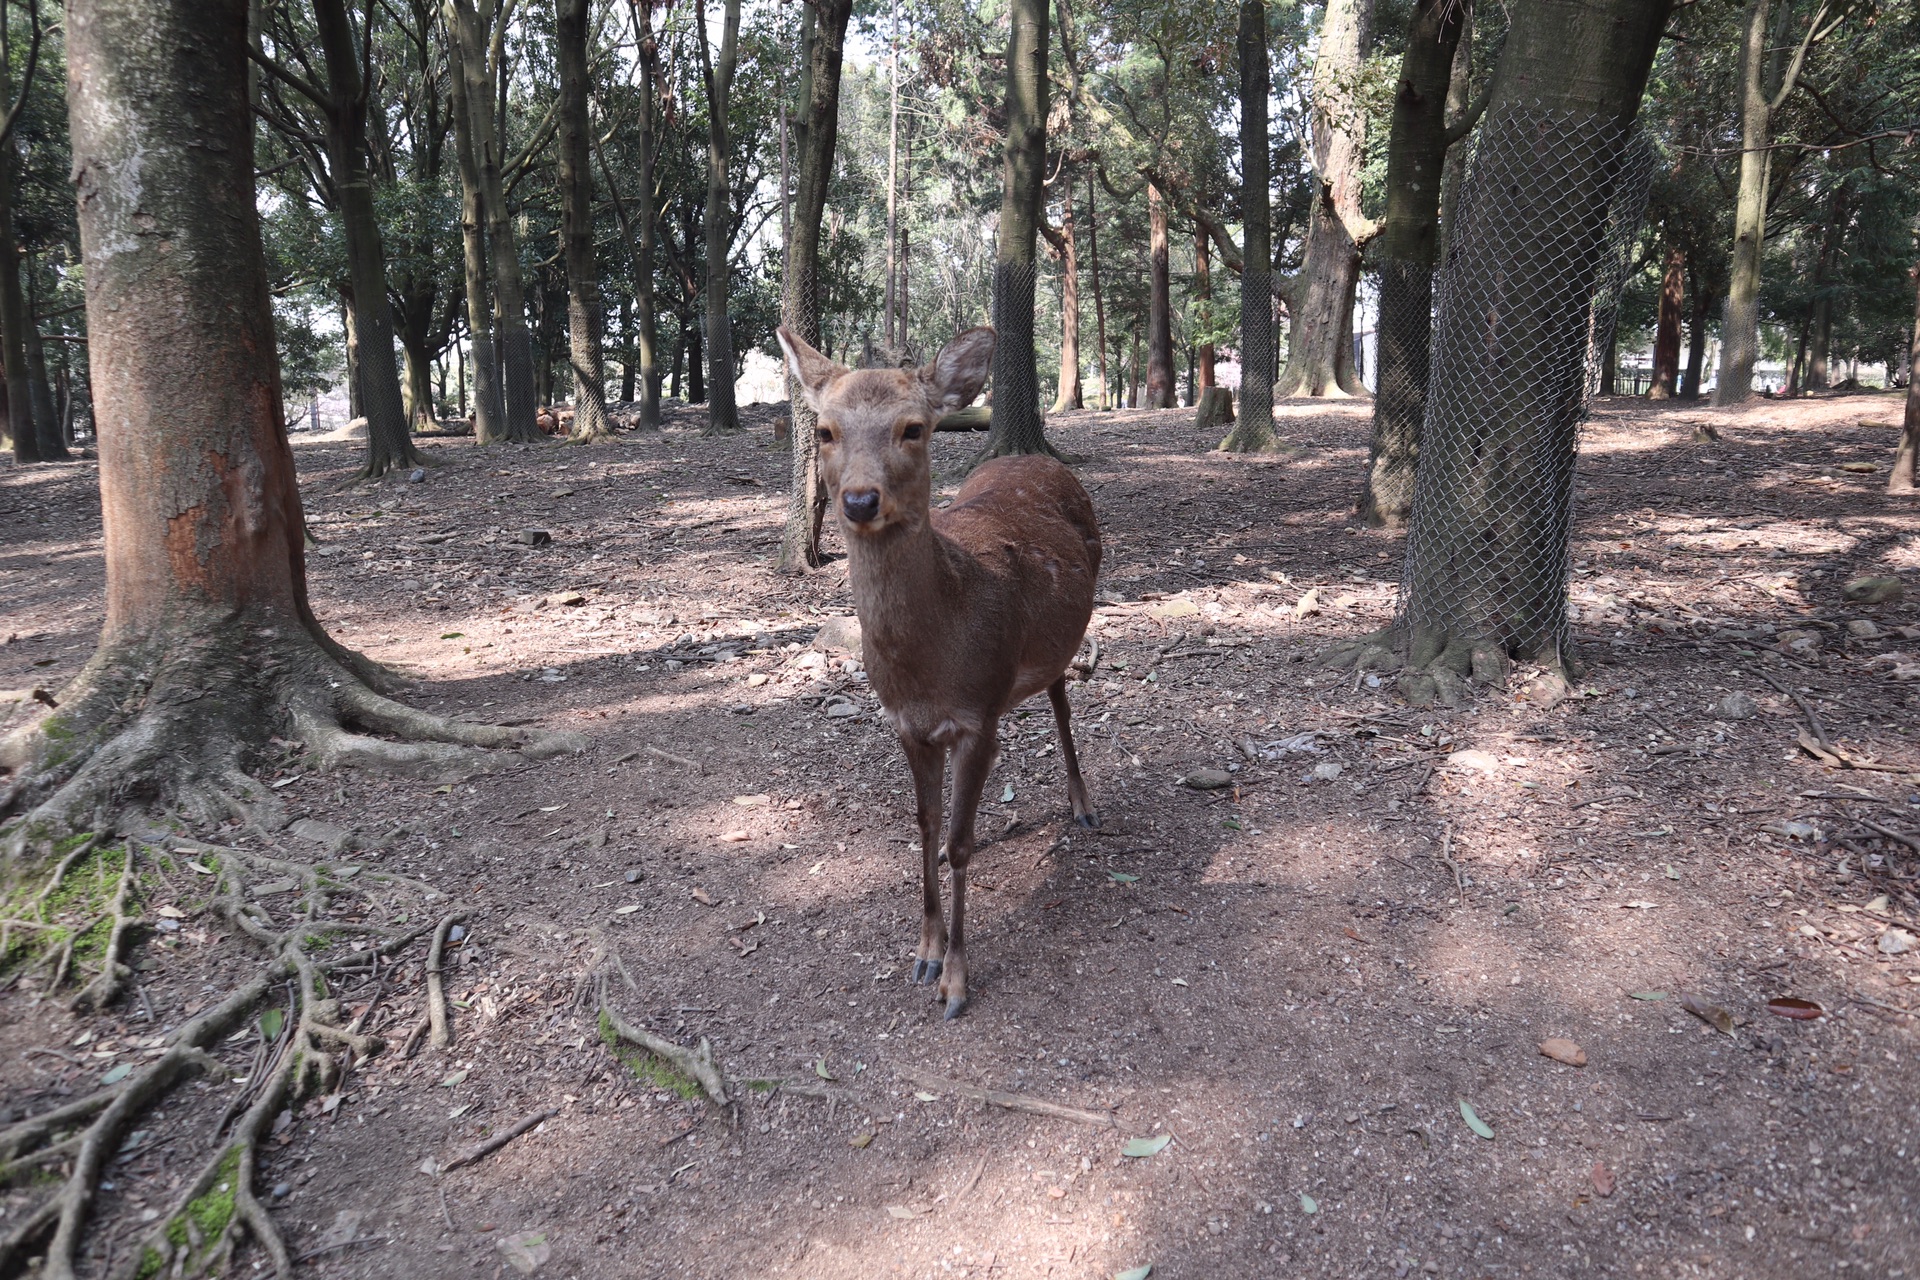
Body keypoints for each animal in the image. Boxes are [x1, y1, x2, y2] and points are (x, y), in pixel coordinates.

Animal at [775, 328, 1105, 1020]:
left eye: (913, 429)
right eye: (825, 430)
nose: (860, 500)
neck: (931, 669)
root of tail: (1039, 458)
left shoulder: (975, 716)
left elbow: (959, 842)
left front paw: (955, 980)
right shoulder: (907, 725)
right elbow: (928, 829)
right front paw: (924, 953)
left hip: (1061, 637)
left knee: (1063, 700)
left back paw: (1083, 805)